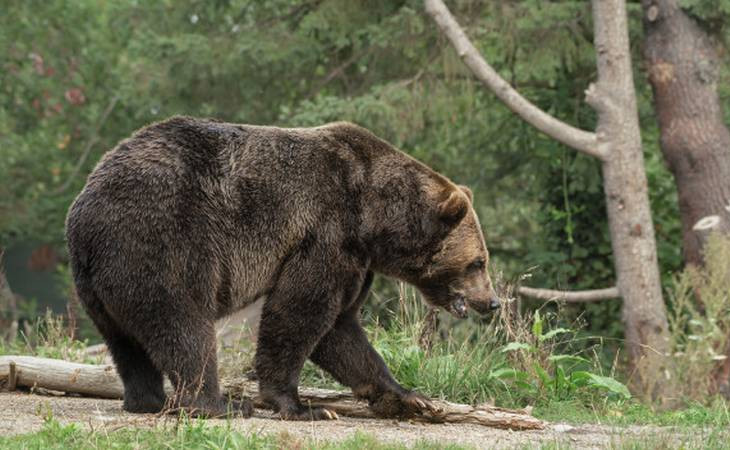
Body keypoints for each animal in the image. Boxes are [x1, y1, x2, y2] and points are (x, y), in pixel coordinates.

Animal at [65, 115, 500, 418]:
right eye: (478, 262)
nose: (492, 302)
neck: (374, 217)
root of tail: (85, 210)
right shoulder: (326, 232)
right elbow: (300, 313)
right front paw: (300, 405)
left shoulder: (356, 259)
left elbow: (340, 329)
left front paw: (410, 397)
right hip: (164, 240)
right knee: (183, 324)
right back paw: (217, 404)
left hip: (98, 282)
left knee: (126, 342)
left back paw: (147, 400)